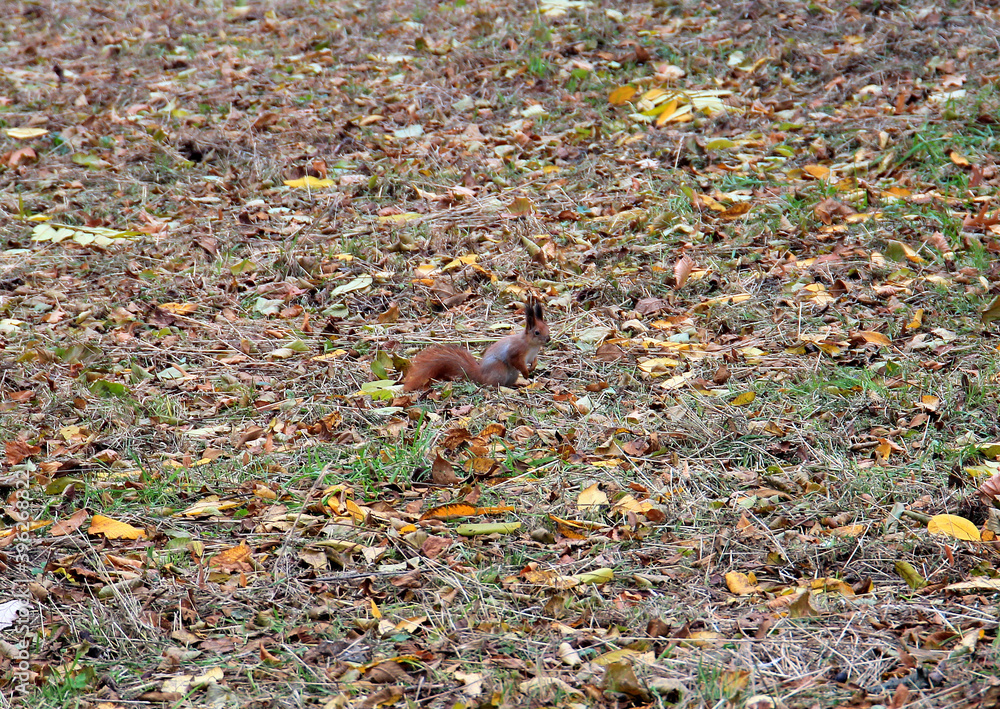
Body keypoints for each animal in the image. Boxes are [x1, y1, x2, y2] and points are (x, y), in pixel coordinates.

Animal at [403, 296, 550, 391]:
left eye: (547, 328)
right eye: (537, 332)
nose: (548, 339)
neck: (532, 346)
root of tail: (481, 375)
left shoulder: (532, 355)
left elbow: (534, 360)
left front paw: (533, 367)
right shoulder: (516, 351)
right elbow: (516, 361)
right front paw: (526, 373)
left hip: (512, 375)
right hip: (499, 369)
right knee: (490, 384)